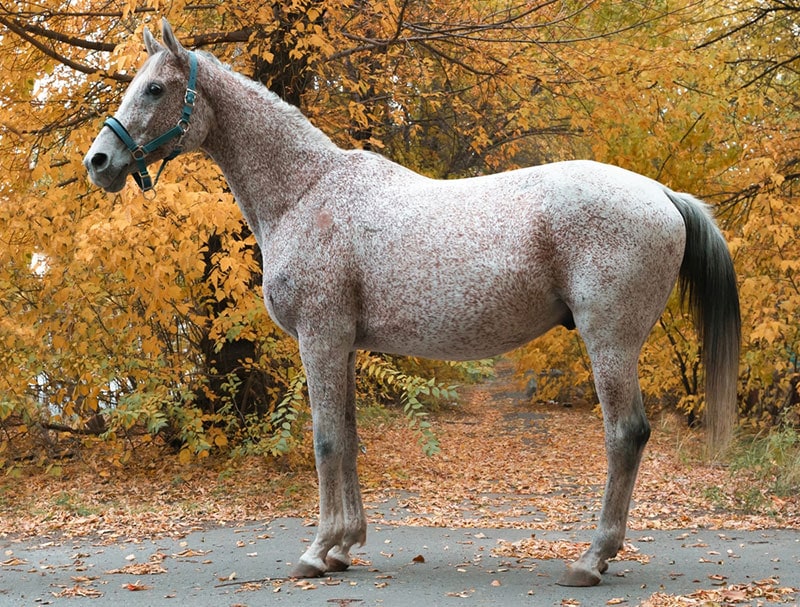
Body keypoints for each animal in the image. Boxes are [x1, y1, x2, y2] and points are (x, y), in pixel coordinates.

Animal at [84, 19, 740, 587]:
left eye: (155, 88)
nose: (99, 162)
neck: (306, 192)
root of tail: (662, 194)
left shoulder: (320, 339)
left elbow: (324, 439)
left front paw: (317, 550)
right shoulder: (344, 346)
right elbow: (348, 437)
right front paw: (344, 545)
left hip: (610, 341)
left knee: (624, 434)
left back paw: (591, 558)